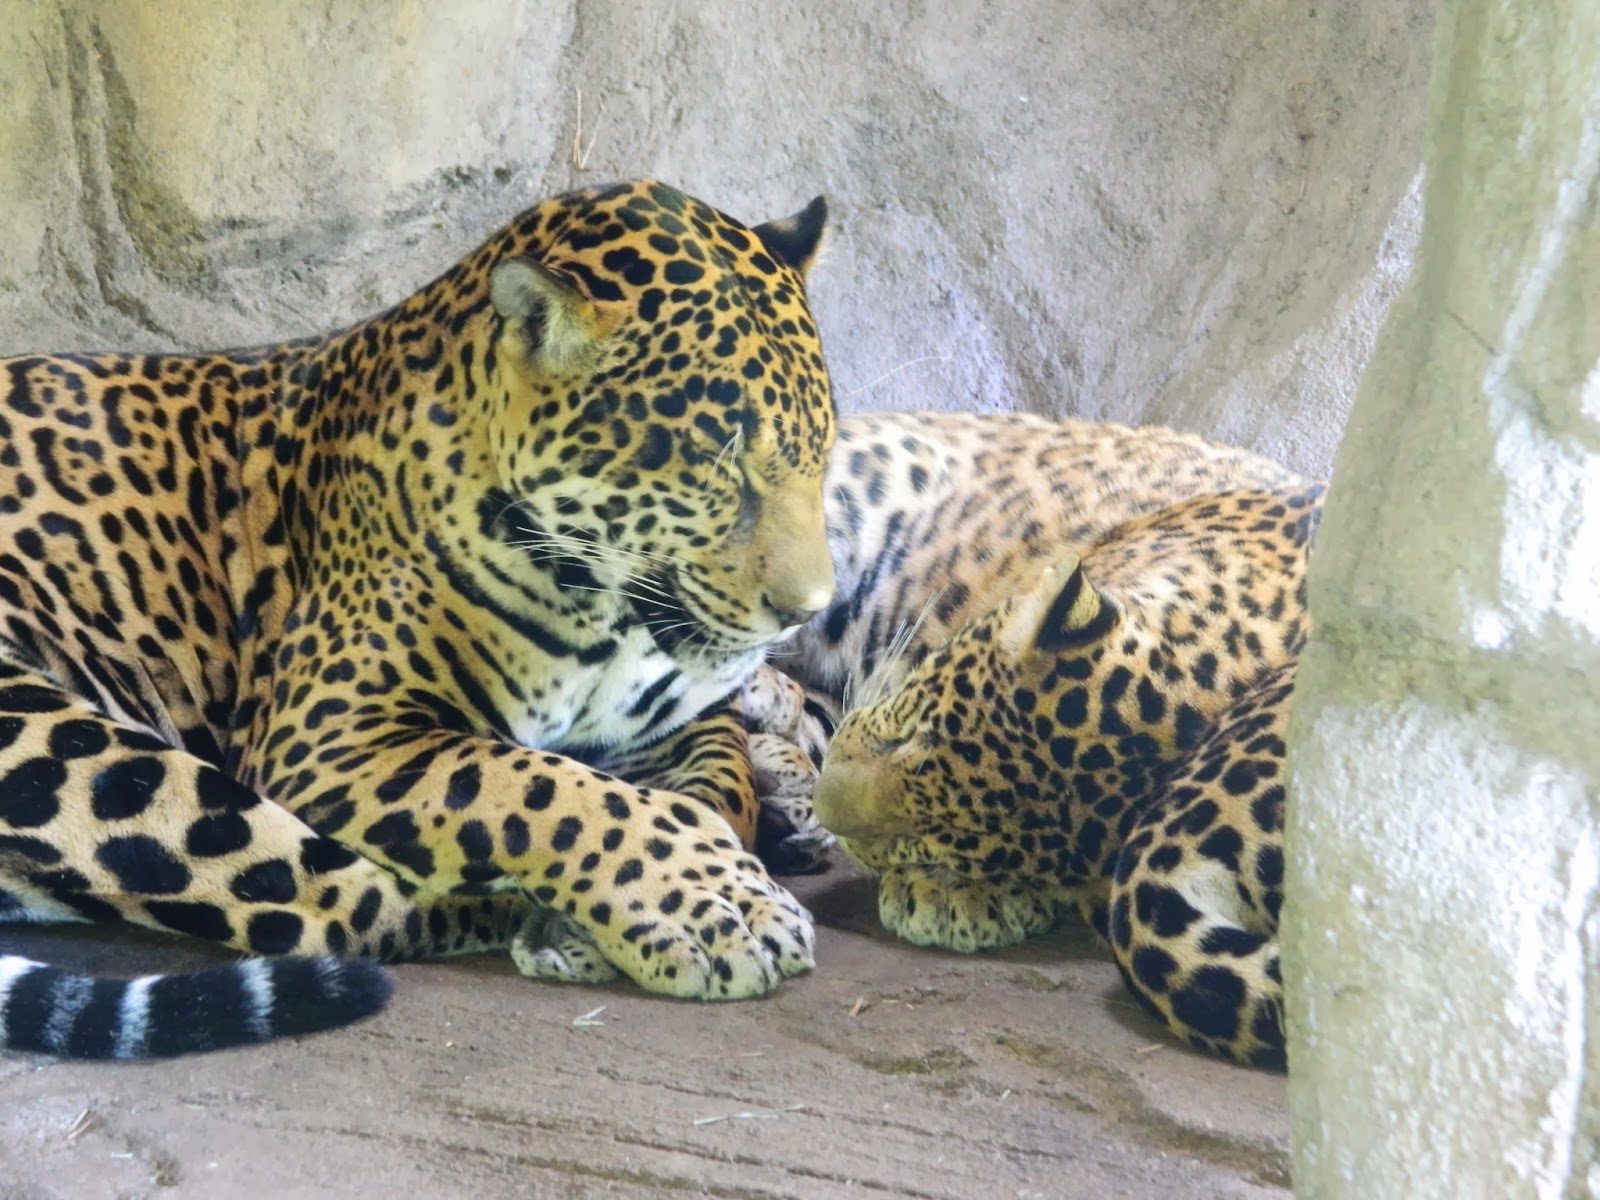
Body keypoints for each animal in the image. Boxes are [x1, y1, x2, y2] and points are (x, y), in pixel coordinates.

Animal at [0, 178, 840, 1060]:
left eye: (821, 451)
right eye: (718, 466)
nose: (805, 611)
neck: (601, 613)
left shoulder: (675, 721)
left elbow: (716, 784)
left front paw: (729, 858)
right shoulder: (331, 731)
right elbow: (544, 787)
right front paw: (713, 905)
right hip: (60, 737)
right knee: (338, 910)